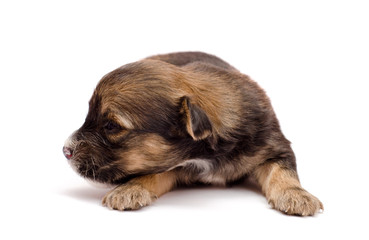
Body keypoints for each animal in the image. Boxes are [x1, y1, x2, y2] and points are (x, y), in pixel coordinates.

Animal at [63, 52, 322, 216]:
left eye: (111, 126)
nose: (65, 150)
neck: (204, 155)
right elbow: (153, 173)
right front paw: (129, 189)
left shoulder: (274, 146)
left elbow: (283, 171)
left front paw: (297, 196)